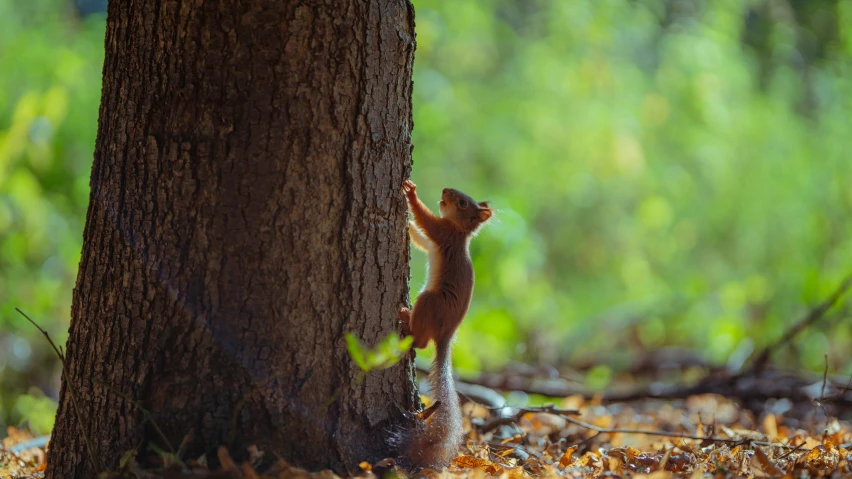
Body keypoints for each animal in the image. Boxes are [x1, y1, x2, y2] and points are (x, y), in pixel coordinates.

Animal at [398, 181, 492, 472]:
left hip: (430, 302)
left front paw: (411, 194)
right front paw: (407, 224)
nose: (446, 190)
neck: (460, 232)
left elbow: (427, 221)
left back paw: (406, 321)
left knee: (421, 342)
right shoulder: (432, 241)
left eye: (462, 203)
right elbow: (421, 239)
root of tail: (447, 335)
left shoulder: (442, 233)